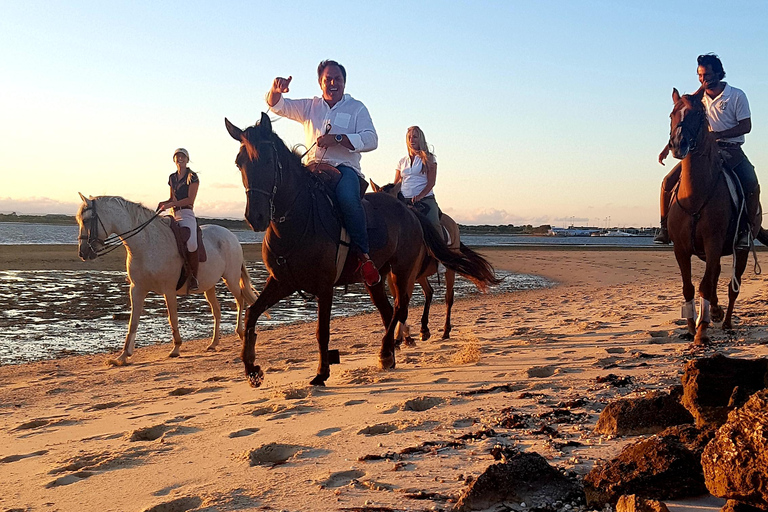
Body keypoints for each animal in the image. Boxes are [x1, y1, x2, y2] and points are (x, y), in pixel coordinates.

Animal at [76, 193, 260, 364]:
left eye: (86, 220)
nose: (83, 252)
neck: (146, 244)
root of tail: (231, 236)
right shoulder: (137, 289)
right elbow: (133, 321)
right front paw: (123, 356)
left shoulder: (168, 290)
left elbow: (173, 318)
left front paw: (176, 348)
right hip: (209, 286)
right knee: (217, 311)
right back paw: (213, 344)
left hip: (231, 279)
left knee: (240, 301)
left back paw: (240, 333)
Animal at [224, 114, 498, 386]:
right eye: (239, 163)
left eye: (269, 160)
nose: (255, 217)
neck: (295, 219)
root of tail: (410, 211)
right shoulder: (282, 281)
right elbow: (251, 314)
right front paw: (252, 368)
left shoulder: (324, 286)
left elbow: (322, 331)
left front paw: (321, 373)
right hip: (377, 277)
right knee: (389, 310)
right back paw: (391, 352)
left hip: (403, 270)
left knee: (404, 306)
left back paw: (390, 350)